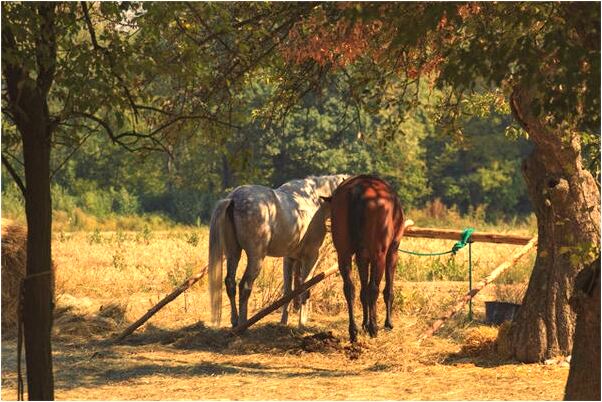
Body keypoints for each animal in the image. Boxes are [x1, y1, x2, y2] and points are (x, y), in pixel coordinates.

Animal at [209, 174, 346, 328]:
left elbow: (288, 291)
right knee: (244, 286)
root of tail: (234, 198)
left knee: (230, 282)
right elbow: (305, 289)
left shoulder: (289, 258)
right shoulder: (311, 257)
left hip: (233, 253)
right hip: (256, 257)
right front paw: (302, 323)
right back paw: (243, 324)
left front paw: (283, 322)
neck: (315, 200)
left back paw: (235, 321)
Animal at [324, 174, 408, 340]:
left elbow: (363, 291)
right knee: (374, 288)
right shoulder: (392, 252)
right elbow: (386, 290)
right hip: (380, 254)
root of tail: (359, 188)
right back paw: (373, 328)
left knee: (349, 288)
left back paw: (353, 330)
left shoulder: (361, 256)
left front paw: (364, 323)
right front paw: (386, 323)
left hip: (343, 253)